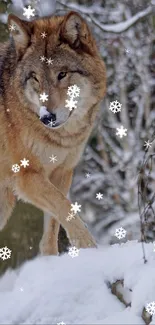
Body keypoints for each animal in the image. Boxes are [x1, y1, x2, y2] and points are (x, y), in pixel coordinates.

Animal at [0, 9, 106, 253]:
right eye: (35, 78)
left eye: (62, 74)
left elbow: (53, 226)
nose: (47, 117)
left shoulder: (61, 172)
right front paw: (90, 248)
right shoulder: (26, 177)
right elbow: (65, 208)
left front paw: (50, 260)